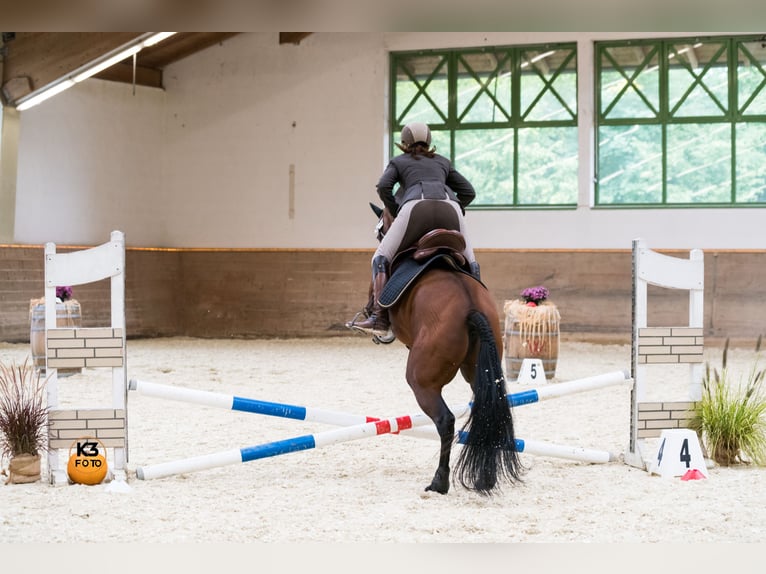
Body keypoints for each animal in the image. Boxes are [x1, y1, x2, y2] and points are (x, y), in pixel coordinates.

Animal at [356, 204, 524, 496]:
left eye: (380, 230)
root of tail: (471, 307)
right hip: (480, 372)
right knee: (486, 413)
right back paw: (486, 477)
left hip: (422, 381)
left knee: (445, 420)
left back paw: (439, 481)